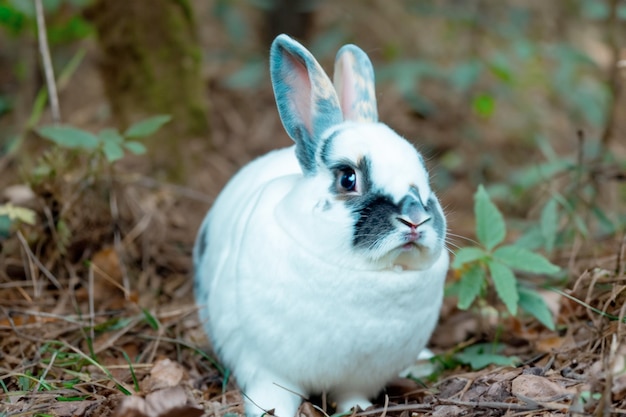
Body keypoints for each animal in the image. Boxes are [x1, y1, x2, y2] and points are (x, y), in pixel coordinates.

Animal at [193, 35, 446, 416]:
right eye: (347, 178)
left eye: (424, 176)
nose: (415, 218)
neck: (369, 273)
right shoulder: (267, 369)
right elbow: (271, 397)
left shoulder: (360, 376)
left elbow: (353, 395)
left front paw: (358, 409)